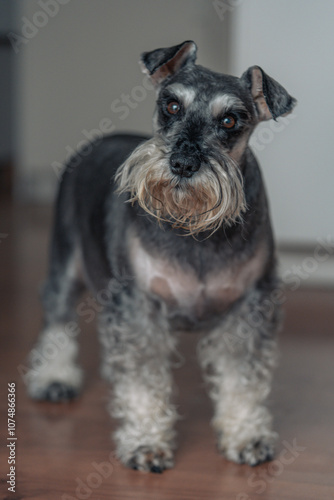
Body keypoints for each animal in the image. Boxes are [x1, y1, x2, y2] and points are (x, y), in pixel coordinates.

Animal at [27, 40, 296, 472]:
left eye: (230, 120)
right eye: (171, 105)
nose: (183, 163)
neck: (193, 227)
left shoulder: (249, 306)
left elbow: (242, 379)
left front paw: (247, 436)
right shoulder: (139, 304)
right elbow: (142, 379)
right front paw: (146, 442)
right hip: (66, 261)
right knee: (56, 315)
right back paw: (55, 378)